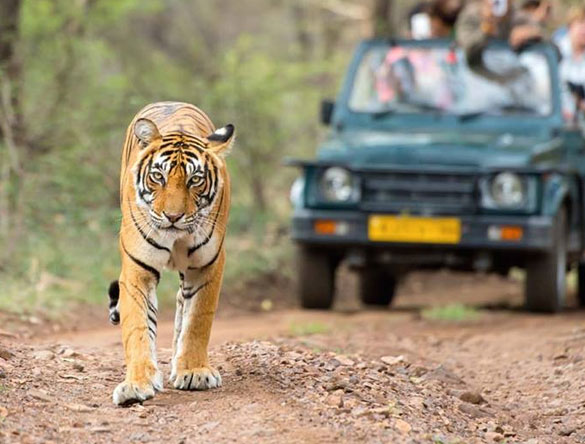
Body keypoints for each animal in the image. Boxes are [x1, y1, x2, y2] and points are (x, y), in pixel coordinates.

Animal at [106, 102, 234, 408]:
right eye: (158, 176)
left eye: (195, 180)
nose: (173, 217)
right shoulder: (137, 269)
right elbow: (138, 328)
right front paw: (136, 384)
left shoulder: (208, 265)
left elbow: (198, 320)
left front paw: (194, 371)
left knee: (181, 304)